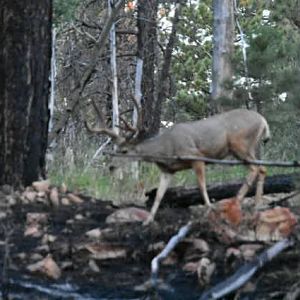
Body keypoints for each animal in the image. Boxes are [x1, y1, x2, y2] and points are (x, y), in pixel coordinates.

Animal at [85, 108, 270, 225]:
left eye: (123, 151)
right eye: (115, 149)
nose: (111, 167)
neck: (166, 149)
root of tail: (263, 120)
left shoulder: (196, 157)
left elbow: (202, 186)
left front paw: (208, 209)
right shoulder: (167, 170)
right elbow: (159, 195)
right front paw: (147, 221)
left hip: (240, 145)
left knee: (255, 169)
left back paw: (236, 201)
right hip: (246, 149)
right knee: (262, 168)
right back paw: (256, 204)